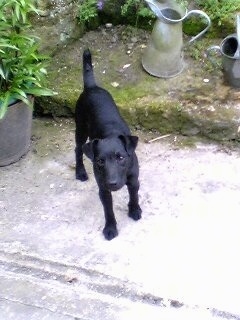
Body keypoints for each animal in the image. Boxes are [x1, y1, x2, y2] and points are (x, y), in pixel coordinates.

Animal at [75, 48, 142, 240]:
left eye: (121, 158)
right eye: (100, 162)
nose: (112, 183)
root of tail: (91, 87)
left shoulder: (134, 180)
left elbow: (134, 196)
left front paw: (134, 210)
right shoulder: (103, 189)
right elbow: (108, 210)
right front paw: (110, 228)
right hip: (80, 129)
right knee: (78, 150)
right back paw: (80, 172)